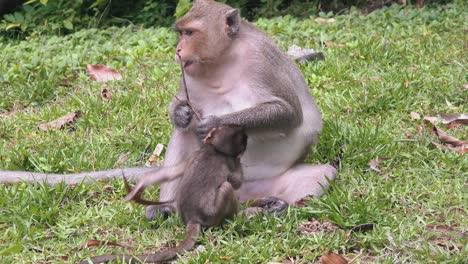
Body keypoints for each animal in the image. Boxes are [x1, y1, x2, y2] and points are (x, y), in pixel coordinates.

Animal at [82, 125, 247, 262]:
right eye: (243, 139)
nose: (247, 138)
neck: (214, 150)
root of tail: (192, 219)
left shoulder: (194, 155)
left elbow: (169, 173)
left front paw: (139, 186)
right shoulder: (230, 161)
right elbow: (236, 181)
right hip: (213, 213)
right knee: (226, 187)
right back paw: (236, 217)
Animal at [150, 0, 336, 219]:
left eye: (189, 33)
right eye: (180, 33)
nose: (178, 49)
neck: (223, 59)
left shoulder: (261, 60)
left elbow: (288, 113)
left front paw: (215, 123)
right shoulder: (188, 73)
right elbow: (183, 109)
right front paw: (180, 113)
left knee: (324, 173)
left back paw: (277, 206)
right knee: (184, 133)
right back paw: (167, 206)